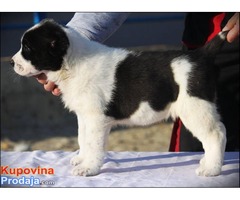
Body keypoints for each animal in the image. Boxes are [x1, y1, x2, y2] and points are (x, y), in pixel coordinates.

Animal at [11, 19, 227, 177]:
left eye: (27, 48)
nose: (12, 62)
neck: (71, 63)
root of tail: (201, 55)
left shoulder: (97, 118)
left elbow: (93, 143)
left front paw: (89, 168)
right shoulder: (85, 115)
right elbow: (83, 138)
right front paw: (82, 158)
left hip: (195, 107)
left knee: (216, 134)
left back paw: (211, 169)